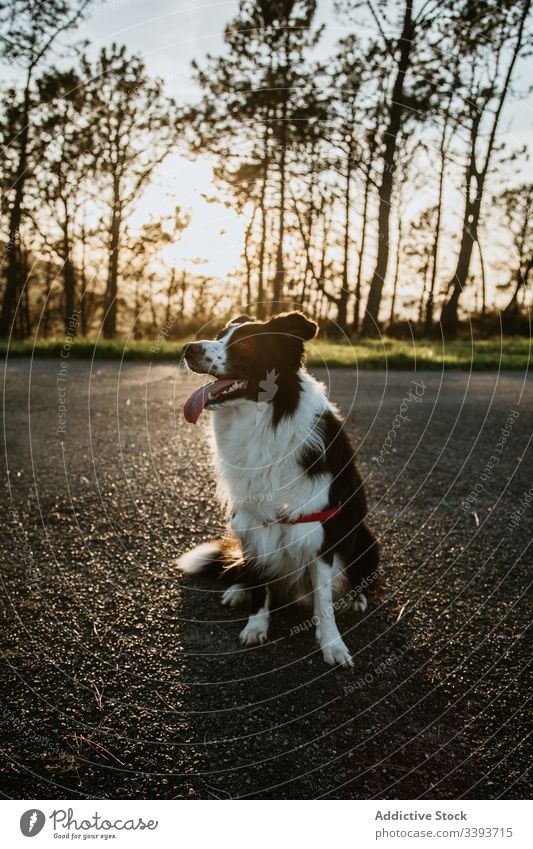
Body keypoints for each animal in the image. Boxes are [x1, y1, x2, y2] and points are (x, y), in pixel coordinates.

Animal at [179, 308, 378, 664]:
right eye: (219, 336)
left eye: (244, 345)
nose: (188, 348)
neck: (265, 421)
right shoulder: (253, 523)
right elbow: (260, 583)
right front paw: (256, 625)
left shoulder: (318, 530)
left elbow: (324, 602)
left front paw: (332, 644)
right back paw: (238, 590)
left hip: (366, 539)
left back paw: (355, 597)